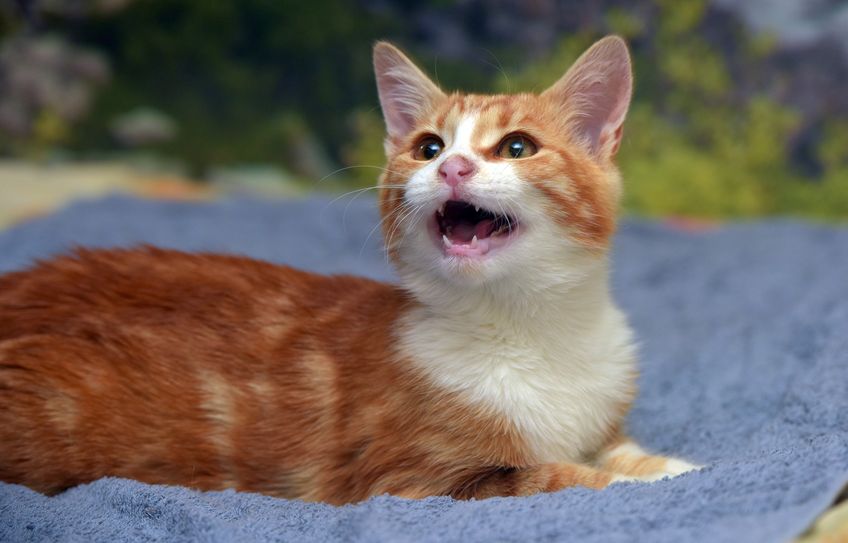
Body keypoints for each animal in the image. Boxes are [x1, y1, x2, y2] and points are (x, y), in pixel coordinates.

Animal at [0, 37, 700, 506]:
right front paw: (633, 482)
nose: (453, 167)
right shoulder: (416, 481)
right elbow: (558, 475)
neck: (528, 330)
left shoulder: (601, 407)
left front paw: (675, 466)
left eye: (518, 146)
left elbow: (618, 449)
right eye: (428, 147)